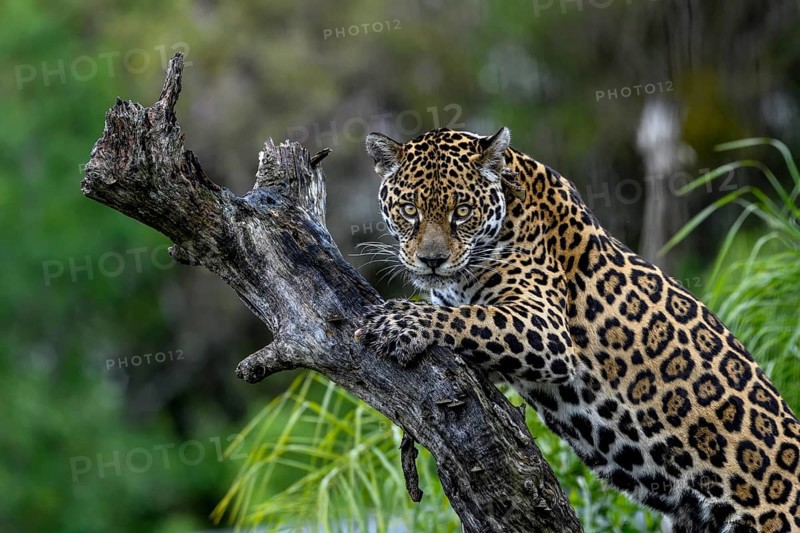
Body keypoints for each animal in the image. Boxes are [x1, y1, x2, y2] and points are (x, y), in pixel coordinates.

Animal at [354, 127, 800, 533]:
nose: (432, 260)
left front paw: (397, 321)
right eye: (409, 209)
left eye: (461, 211)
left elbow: (468, 318)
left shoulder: (544, 326)